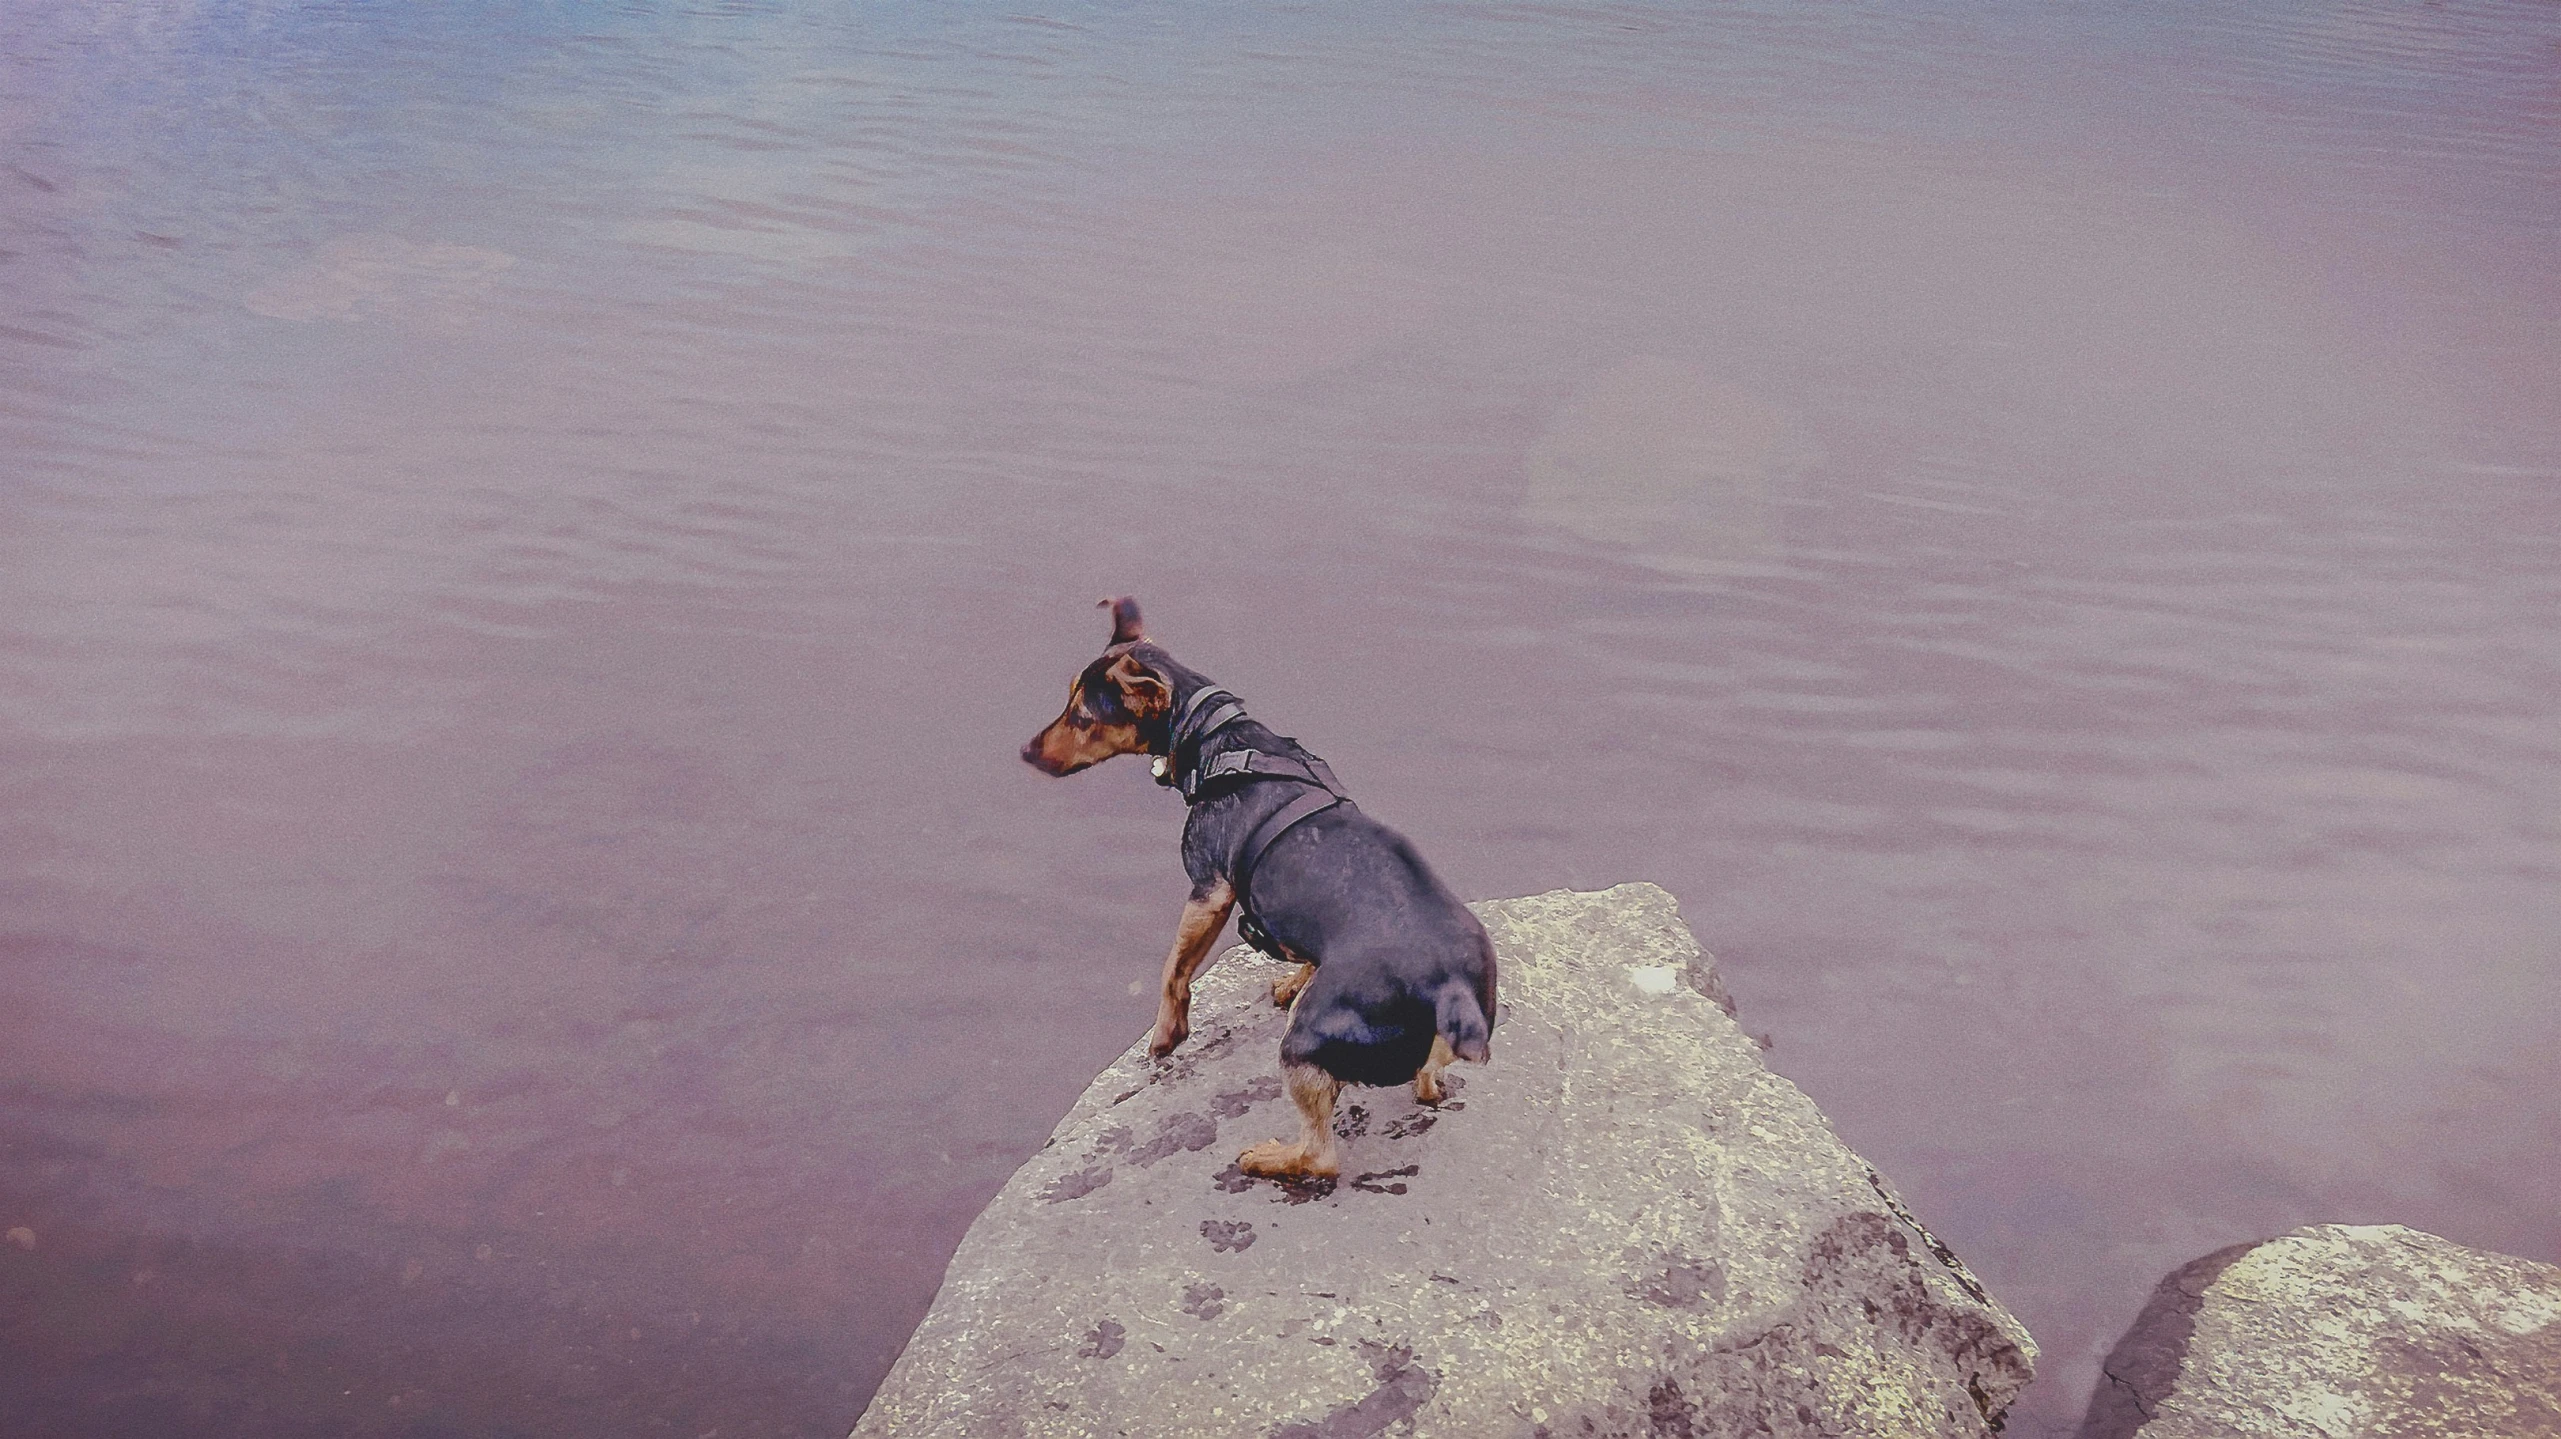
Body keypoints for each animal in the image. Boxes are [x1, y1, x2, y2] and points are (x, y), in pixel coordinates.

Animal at [1024, 594, 1495, 1177]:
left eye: (1083, 717)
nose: (1026, 752)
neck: (1215, 739)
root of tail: (1450, 987)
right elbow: (1300, 952)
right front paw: (1294, 978)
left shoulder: (1209, 890)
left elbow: (1173, 970)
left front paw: (1166, 1034)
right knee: (1427, 1083)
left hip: (1302, 1042)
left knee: (1321, 1156)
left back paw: (1270, 1157)